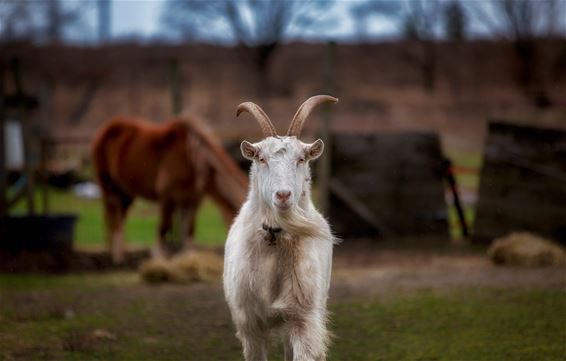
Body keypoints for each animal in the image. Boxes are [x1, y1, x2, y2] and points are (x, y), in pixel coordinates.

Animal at [92, 115, 248, 262]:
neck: (192, 159)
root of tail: (104, 130)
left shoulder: (192, 200)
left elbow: (189, 230)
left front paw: (189, 257)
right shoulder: (167, 197)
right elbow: (164, 227)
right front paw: (158, 257)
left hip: (126, 194)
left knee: (120, 219)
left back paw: (121, 254)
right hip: (109, 188)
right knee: (113, 220)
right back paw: (116, 256)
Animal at [223, 95, 340, 360]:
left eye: (301, 159)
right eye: (262, 159)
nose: (283, 195)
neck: (273, 244)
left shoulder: (303, 317)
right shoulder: (249, 323)